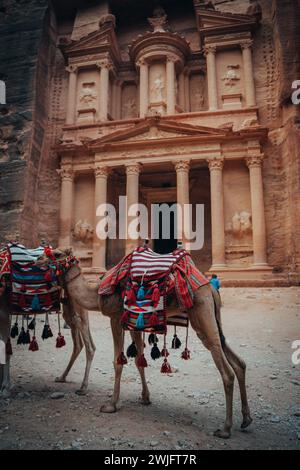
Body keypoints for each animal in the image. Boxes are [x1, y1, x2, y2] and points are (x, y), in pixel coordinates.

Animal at [37, 248, 253, 438]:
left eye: (56, 253)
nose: (38, 260)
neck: (97, 292)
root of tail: (211, 289)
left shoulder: (115, 317)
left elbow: (118, 362)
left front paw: (111, 405)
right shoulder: (133, 322)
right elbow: (139, 359)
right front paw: (145, 398)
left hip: (202, 316)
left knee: (227, 372)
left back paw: (225, 429)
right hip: (214, 320)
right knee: (239, 362)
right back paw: (246, 420)